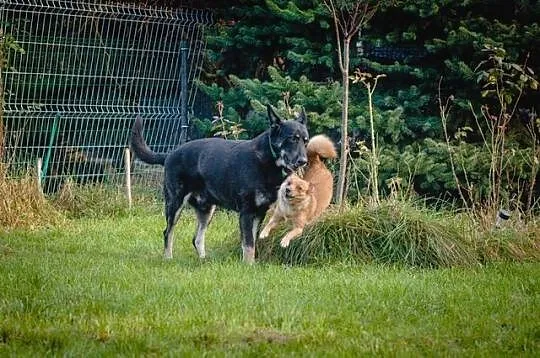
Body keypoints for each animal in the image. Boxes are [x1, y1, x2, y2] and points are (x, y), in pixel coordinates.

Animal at [129, 104, 310, 262]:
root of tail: (168, 155)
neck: (269, 160)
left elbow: (253, 243)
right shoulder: (246, 212)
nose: (303, 161)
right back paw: (168, 258)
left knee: (197, 238)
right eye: (292, 139)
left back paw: (204, 260)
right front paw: (248, 266)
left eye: (305, 141)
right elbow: (248, 244)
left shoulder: (259, 213)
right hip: (175, 203)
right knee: (168, 232)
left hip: (207, 210)